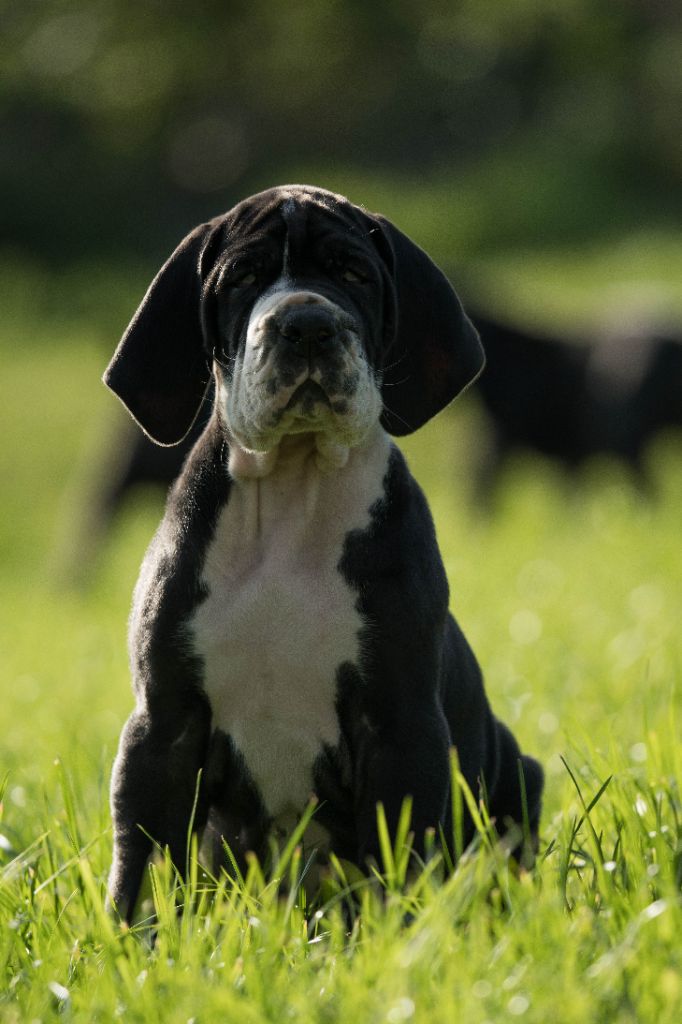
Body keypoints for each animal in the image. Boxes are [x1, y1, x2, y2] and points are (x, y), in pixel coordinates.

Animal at [103, 185, 543, 921]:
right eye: (245, 277)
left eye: (355, 274)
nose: (306, 324)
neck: (293, 495)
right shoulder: (162, 728)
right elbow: (141, 870)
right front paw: (128, 943)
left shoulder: (400, 725)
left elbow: (403, 863)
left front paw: (403, 937)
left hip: (516, 767)